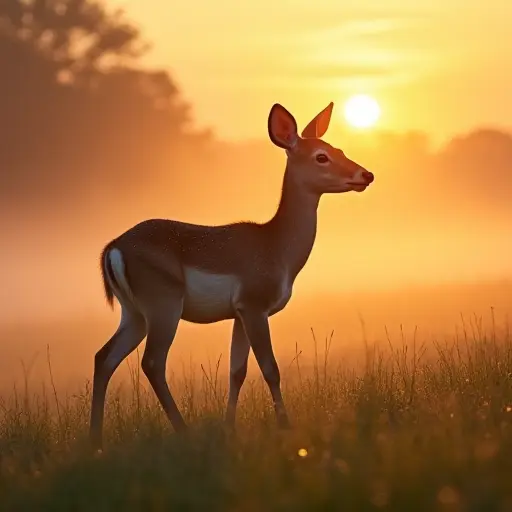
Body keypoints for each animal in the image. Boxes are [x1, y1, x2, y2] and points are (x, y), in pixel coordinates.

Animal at [90, 102, 374, 450]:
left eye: (339, 149)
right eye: (321, 156)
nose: (365, 175)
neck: (276, 247)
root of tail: (113, 248)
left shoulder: (238, 314)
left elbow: (236, 371)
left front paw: (230, 428)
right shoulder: (254, 306)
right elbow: (270, 368)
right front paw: (285, 427)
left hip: (134, 313)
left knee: (104, 357)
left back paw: (95, 441)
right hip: (163, 305)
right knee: (152, 363)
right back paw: (183, 431)